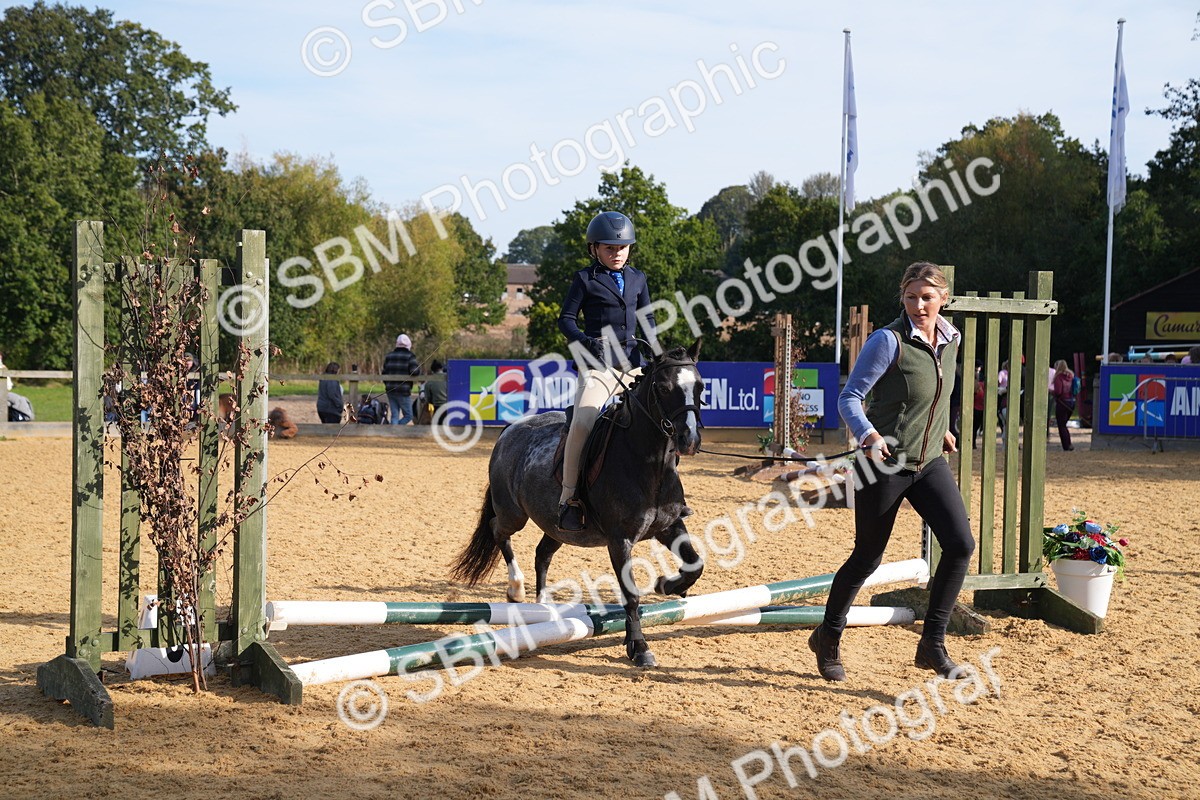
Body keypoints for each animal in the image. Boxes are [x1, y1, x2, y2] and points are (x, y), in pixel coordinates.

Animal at [450, 341, 706, 667]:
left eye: (699, 386)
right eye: (662, 388)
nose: (690, 440)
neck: (648, 463)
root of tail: (511, 428)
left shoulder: (669, 526)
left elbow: (696, 564)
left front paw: (668, 585)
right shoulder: (619, 539)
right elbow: (631, 594)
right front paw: (639, 648)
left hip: (559, 527)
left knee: (542, 552)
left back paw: (543, 605)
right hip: (513, 513)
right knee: (499, 530)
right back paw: (516, 589)